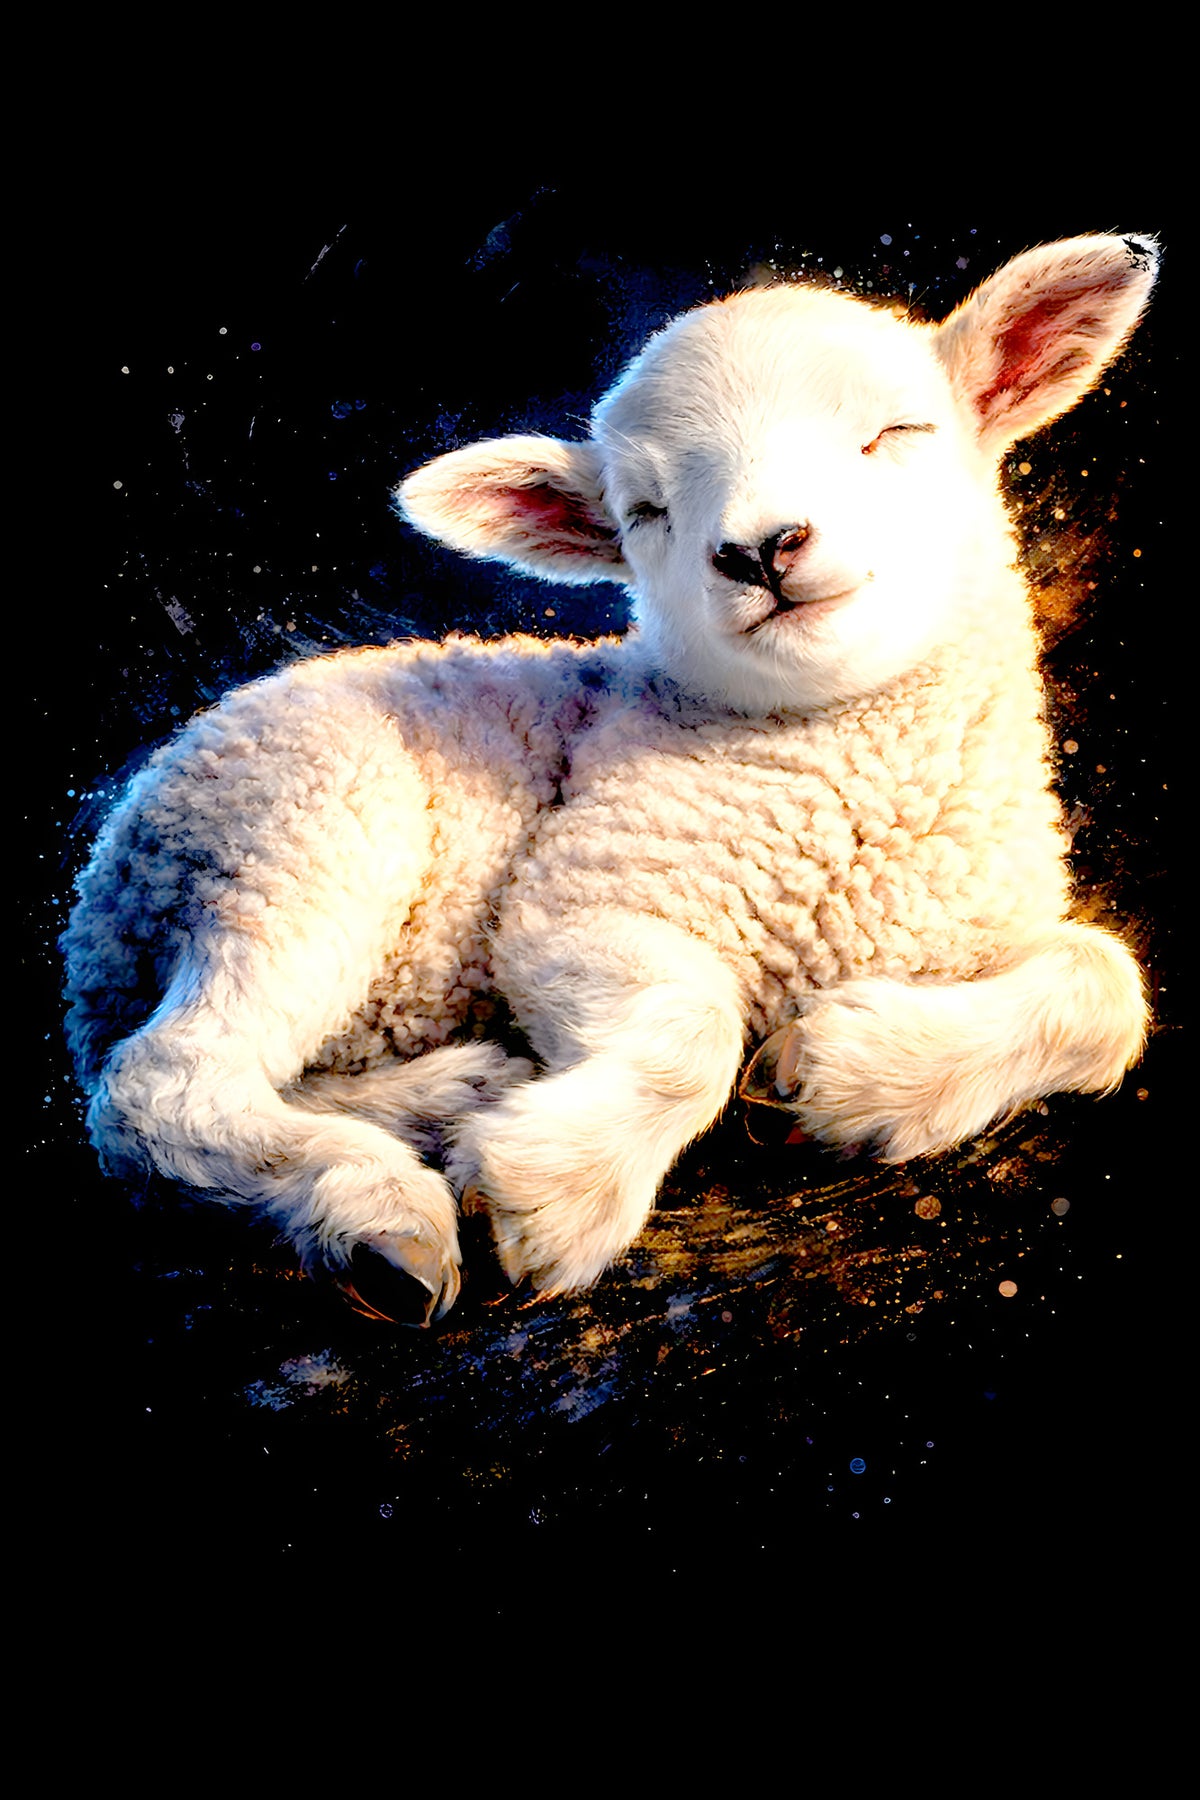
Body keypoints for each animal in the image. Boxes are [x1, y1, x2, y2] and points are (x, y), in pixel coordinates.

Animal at [63, 232, 1157, 1325]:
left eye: (894, 432)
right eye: (646, 512)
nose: (759, 550)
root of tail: (98, 919)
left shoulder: (982, 931)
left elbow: (1107, 990)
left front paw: (845, 1077)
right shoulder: (580, 891)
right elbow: (695, 1023)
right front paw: (556, 1190)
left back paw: (448, 1095)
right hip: (293, 837)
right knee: (161, 1087)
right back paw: (371, 1211)